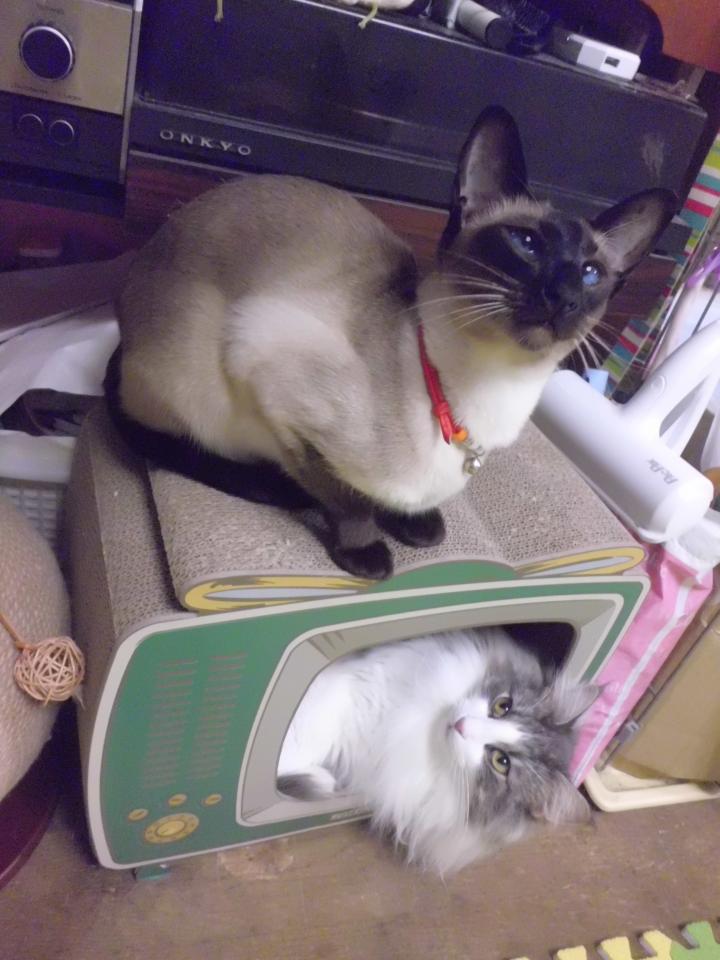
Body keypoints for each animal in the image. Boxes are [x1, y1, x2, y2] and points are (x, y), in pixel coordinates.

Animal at [106, 105, 675, 580]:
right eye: (527, 243)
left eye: (590, 273)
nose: (564, 297)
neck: (484, 396)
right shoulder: (270, 383)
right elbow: (345, 498)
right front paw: (366, 551)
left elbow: (405, 507)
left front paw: (416, 522)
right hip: (196, 385)